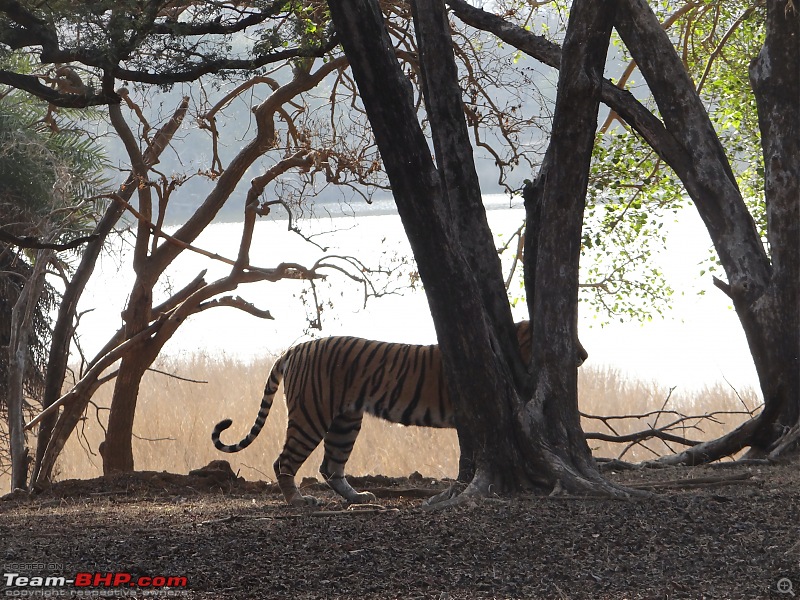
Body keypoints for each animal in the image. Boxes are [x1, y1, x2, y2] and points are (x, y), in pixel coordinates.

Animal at [212, 318, 588, 506]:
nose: (583, 355)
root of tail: (295, 348)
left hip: (346, 421)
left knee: (330, 466)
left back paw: (358, 497)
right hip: (312, 414)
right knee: (285, 462)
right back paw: (298, 501)